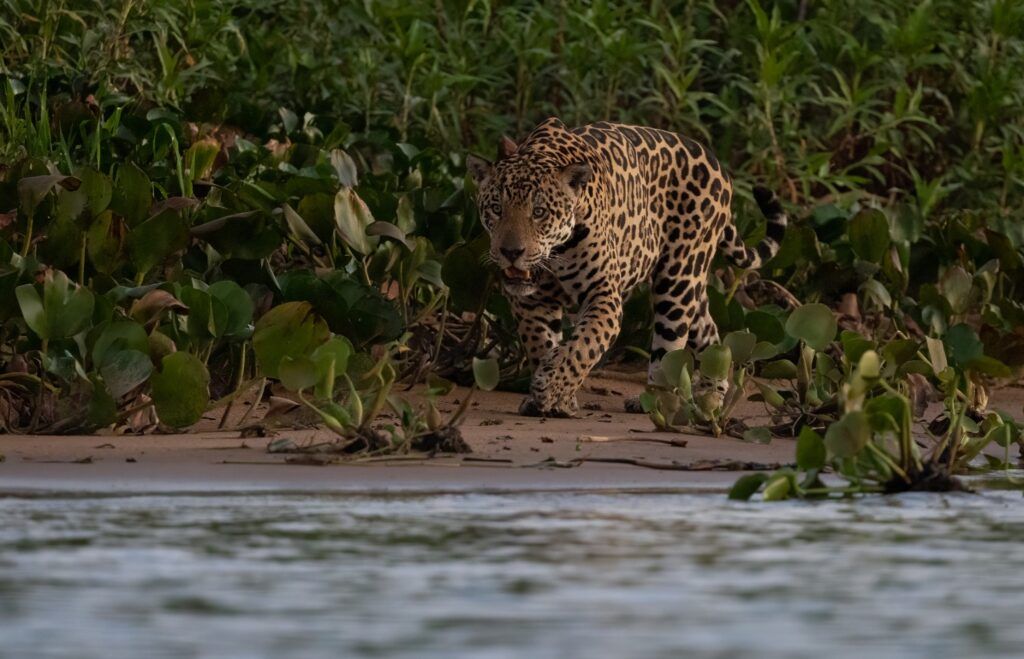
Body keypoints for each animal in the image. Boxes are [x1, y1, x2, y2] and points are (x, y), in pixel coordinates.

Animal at [467, 117, 787, 417]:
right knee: (709, 332)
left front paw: (552, 389)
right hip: (692, 286)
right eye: (496, 209)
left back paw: (657, 404)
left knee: (669, 349)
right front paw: (549, 397)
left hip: (677, 281)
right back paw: (710, 397)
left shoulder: (604, 296)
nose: (511, 252)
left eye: (539, 212)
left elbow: (583, 347)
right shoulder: (531, 301)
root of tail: (717, 163)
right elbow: (541, 345)